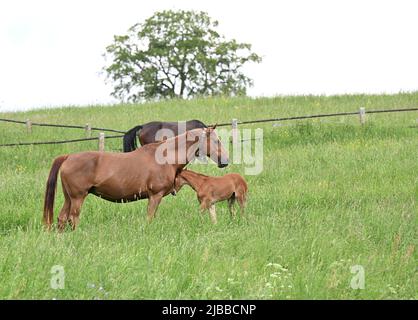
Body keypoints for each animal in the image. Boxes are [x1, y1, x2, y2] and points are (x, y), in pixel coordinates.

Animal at [42, 126, 229, 231]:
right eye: (216, 141)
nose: (225, 161)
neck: (165, 157)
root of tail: (68, 157)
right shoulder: (155, 196)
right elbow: (149, 218)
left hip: (69, 198)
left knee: (62, 219)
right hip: (78, 198)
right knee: (73, 219)